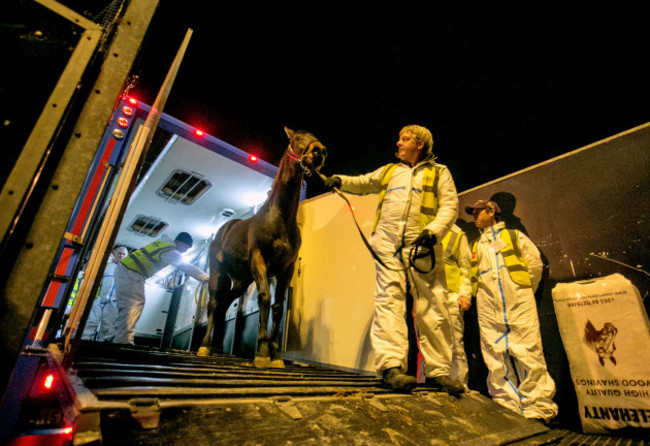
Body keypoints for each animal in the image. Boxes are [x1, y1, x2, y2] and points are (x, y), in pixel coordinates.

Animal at [196, 127, 330, 368]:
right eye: (297, 138)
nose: (319, 151)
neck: (278, 219)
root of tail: (224, 229)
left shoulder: (286, 268)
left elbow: (277, 307)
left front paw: (276, 356)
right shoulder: (260, 261)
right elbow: (264, 298)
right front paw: (262, 353)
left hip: (241, 281)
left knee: (224, 304)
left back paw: (218, 348)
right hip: (218, 272)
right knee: (214, 303)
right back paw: (205, 347)